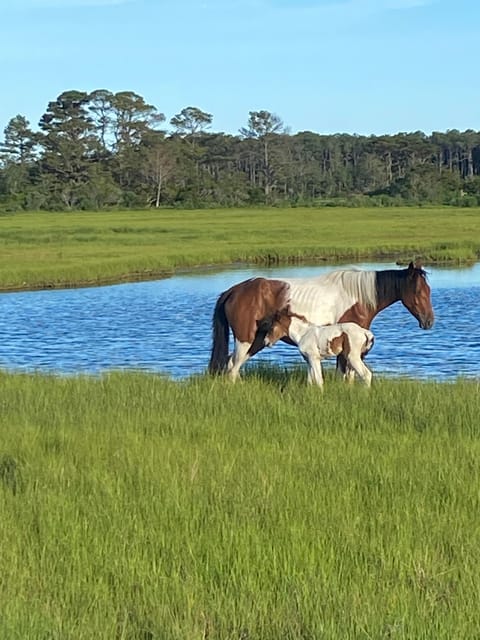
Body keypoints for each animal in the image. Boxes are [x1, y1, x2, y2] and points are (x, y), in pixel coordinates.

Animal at [208, 262, 434, 380]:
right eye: (418, 291)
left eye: (429, 290)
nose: (429, 321)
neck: (356, 296)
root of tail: (233, 291)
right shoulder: (347, 347)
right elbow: (345, 373)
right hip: (245, 339)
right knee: (233, 366)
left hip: (257, 341)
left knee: (232, 364)